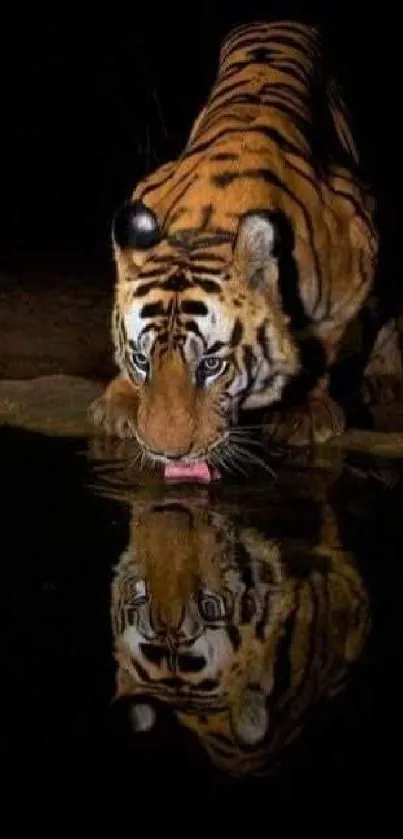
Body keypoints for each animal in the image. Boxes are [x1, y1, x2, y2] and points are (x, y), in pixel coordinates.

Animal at [91, 21, 378, 480]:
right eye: (141, 359)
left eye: (211, 366)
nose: (169, 455)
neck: (210, 225)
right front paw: (120, 402)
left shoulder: (358, 250)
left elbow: (326, 341)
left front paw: (305, 412)